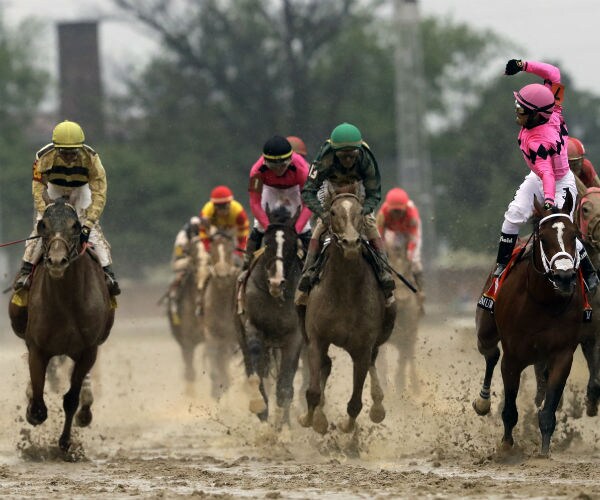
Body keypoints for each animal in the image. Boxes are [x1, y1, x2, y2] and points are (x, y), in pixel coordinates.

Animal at [8, 199, 114, 452]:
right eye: (43, 225)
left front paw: (66, 443)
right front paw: (31, 411)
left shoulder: (88, 350)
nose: (57, 261)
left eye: (75, 226)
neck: (67, 302)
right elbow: (38, 402)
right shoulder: (38, 348)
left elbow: (71, 399)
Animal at [236, 205, 304, 425]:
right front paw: (259, 406)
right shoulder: (253, 327)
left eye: (292, 244)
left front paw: (282, 427)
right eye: (267, 244)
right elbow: (256, 370)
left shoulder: (295, 337)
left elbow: (285, 386)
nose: (276, 282)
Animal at [298, 191, 396, 435]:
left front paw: (346, 427)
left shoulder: (362, 347)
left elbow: (355, 403)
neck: (345, 290)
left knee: (372, 362)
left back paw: (377, 406)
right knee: (326, 366)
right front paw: (311, 419)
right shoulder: (316, 339)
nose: (350, 243)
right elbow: (313, 390)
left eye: (360, 211)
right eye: (333, 212)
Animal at [473, 191, 583, 456]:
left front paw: (544, 450)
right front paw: (506, 446)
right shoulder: (513, 356)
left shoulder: (562, 353)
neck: (543, 301)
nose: (564, 277)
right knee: (490, 354)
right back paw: (483, 402)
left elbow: (550, 406)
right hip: (485, 331)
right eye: (543, 238)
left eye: (574, 235)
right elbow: (510, 407)